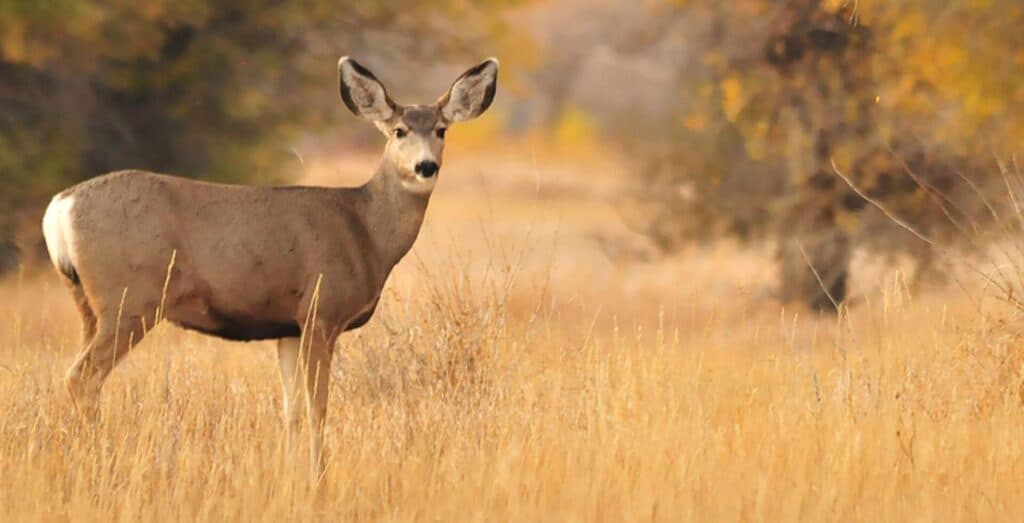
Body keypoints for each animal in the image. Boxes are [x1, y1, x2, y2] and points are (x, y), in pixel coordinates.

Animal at [41, 56, 499, 480]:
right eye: (399, 131)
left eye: (441, 130)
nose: (426, 166)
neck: (365, 230)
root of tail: (60, 207)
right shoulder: (320, 311)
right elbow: (318, 407)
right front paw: (317, 478)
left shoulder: (288, 326)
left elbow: (290, 409)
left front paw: (290, 474)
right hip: (130, 299)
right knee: (82, 376)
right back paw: (101, 464)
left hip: (90, 304)